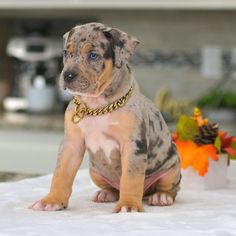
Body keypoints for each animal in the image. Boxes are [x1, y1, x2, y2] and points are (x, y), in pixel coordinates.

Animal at [30, 22, 181, 213]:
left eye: (93, 55)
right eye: (66, 53)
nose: (67, 76)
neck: (97, 106)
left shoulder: (133, 145)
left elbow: (131, 178)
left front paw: (128, 205)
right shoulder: (71, 145)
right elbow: (60, 174)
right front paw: (52, 200)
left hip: (171, 169)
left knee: (170, 188)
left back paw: (161, 196)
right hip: (95, 171)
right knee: (114, 188)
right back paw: (106, 193)